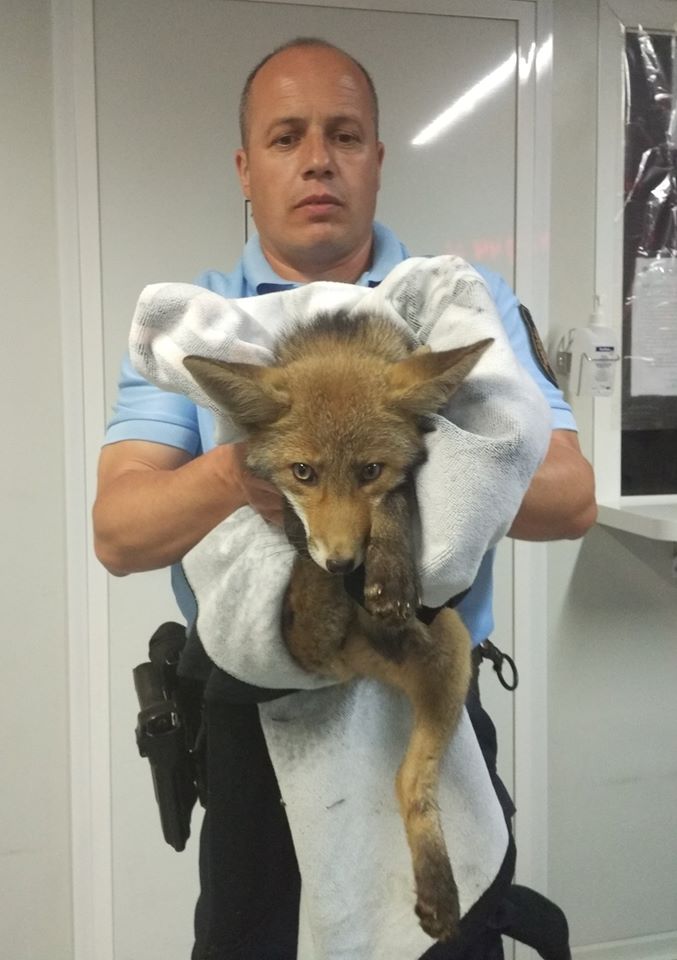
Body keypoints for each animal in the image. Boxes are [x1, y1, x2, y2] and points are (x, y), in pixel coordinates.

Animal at [183, 311, 492, 942]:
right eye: (303, 471)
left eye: (370, 469)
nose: (343, 564)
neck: (342, 334)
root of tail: (349, 661)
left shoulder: (402, 476)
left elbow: (397, 499)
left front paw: (391, 567)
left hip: (450, 651)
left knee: (408, 784)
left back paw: (439, 891)